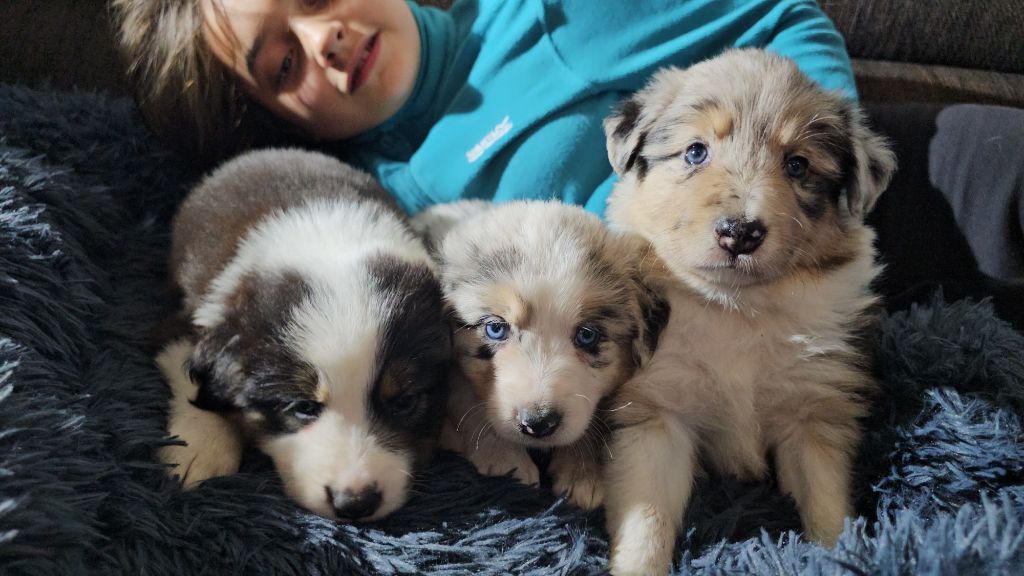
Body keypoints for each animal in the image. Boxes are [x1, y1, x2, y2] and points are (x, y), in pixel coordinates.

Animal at [155, 148, 452, 520]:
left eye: (405, 401)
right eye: (303, 406)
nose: (355, 504)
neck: (327, 242)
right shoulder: (182, 324)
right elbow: (193, 383)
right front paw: (198, 450)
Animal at [413, 198, 663, 506]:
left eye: (587, 335)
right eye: (496, 328)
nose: (538, 424)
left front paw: (582, 472)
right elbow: (465, 400)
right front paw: (506, 461)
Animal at [598, 50, 897, 573]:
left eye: (797, 164)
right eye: (695, 152)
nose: (740, 233)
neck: (736, 308)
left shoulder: (813, 414)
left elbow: (827, 507)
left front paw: (838, 557)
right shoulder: (655, 413)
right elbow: (647, 521)